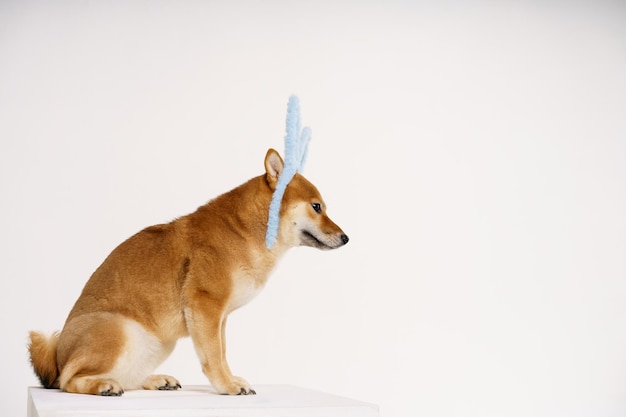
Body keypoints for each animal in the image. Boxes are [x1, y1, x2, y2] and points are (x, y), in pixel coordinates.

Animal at [28, 148, 346, 394]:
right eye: (317, 207)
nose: (346, 238)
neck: (245, 230)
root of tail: (57, 355)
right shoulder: (205, 305)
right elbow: (214, 356)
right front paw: (227, 386)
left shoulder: (219, 317)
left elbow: (222, 352)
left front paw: (230, 379)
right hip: (118, 329)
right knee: (67, 379)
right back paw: (102, 385)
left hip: (156, 343)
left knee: (124, 377)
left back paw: (155, 380)